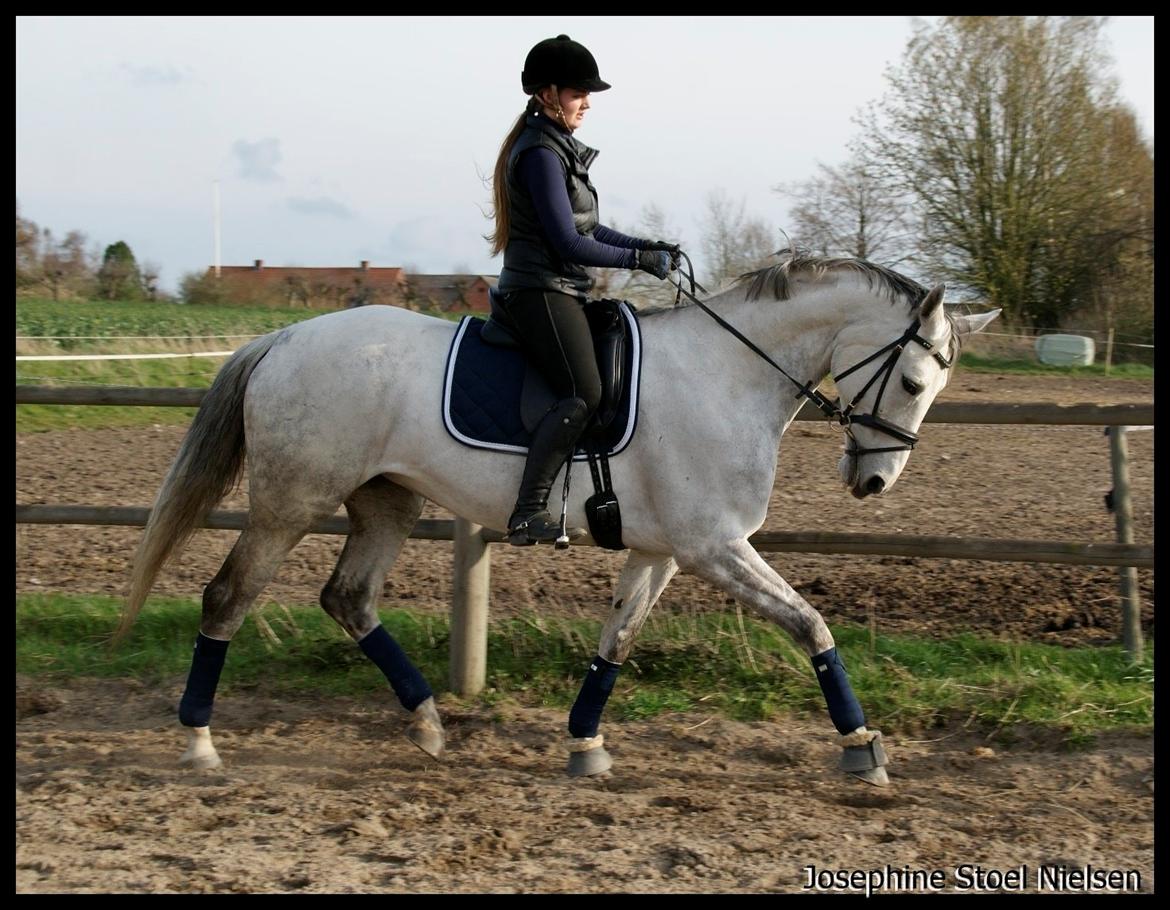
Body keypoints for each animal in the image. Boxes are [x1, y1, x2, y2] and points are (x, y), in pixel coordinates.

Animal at [116, 250, 996, 786]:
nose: (872, 482)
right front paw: (861, 747)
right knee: (228, 598)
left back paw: (428, 722)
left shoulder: (663, 551)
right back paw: (199, 741)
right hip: (290, 502)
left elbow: (617, 640)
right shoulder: (714, 546)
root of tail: (284, 337)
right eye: (913, 382)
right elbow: (810, 623)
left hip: (386, 502)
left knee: (349, 599)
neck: (729, 373)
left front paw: (585, 745)